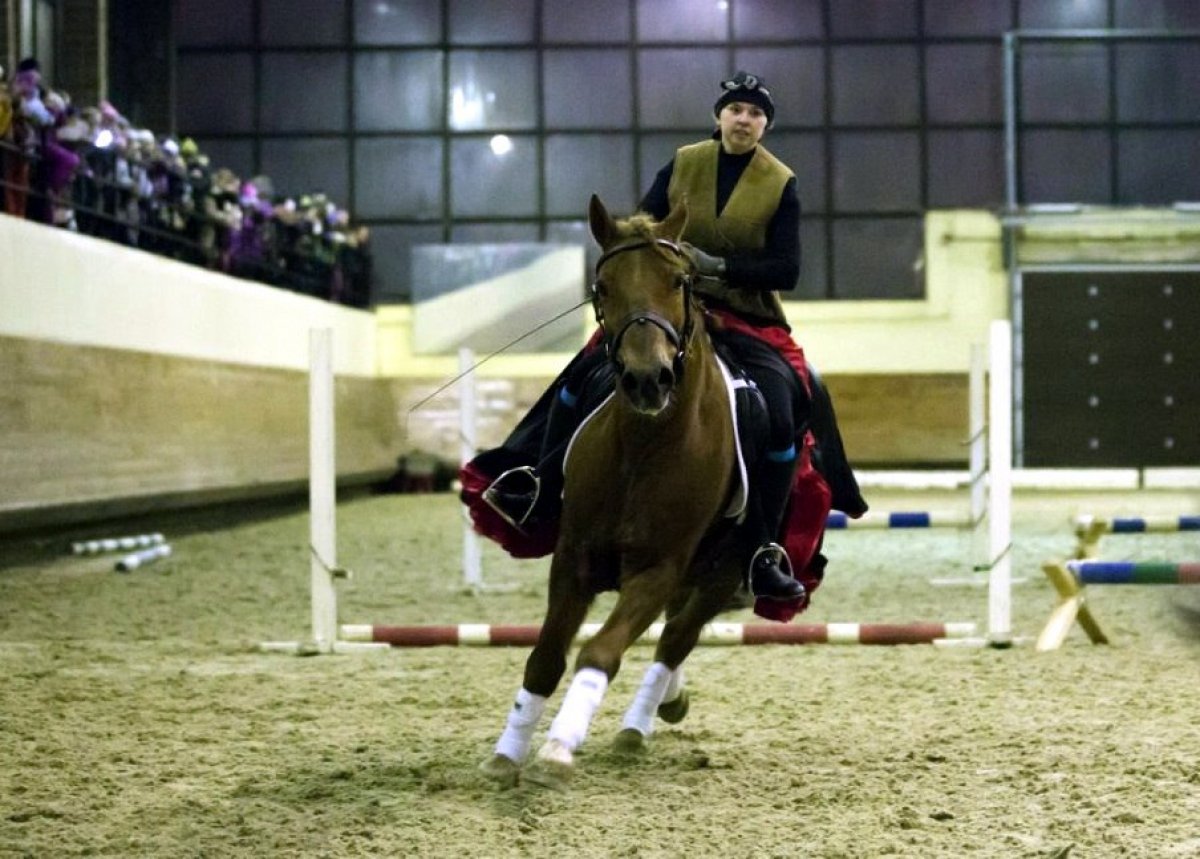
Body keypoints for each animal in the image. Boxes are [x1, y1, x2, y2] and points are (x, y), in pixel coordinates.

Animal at [475, 196, 748, 791]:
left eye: (679, 280)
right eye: (603, 286)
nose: (649, 379)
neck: (644, 449)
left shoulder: (657, 570)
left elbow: (600, 651)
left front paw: (558, 746)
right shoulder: (572, 559)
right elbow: (544, 658)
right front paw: (508, 752)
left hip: (723, 573)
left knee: (675, 638)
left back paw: (641, 720)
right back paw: (664, 703)